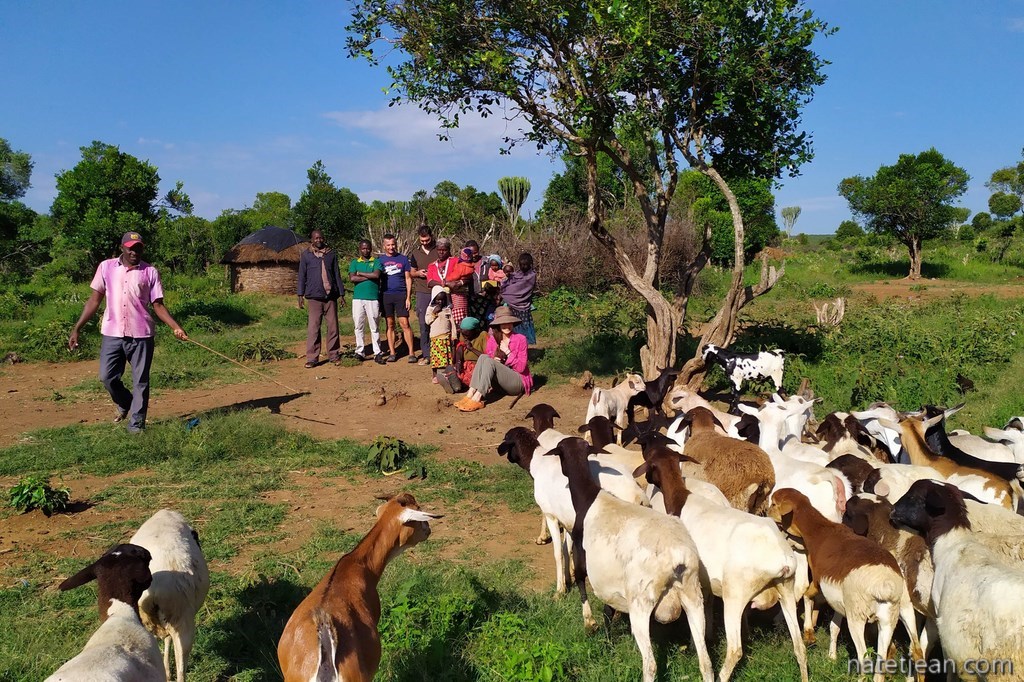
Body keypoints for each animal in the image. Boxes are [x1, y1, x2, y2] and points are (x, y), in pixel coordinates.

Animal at [546, 436, 714, 682]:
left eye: (559, 454)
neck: (589, 498)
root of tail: (678, 558)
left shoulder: (584, 557)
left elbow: (580, 581)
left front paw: (591, 625)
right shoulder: (610, 581)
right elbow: (608, 610)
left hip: (641, 602)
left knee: (650, 664)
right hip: (693, 595)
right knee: (706, 662)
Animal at [636, 445, 808, 682]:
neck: (681, 499)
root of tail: (782, 559)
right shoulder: (705, 581)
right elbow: (706, 608)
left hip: (736, 593)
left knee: (735, 650)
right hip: (787, 588)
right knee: (800, 647)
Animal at [768, 489, 923, 681]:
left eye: (774, 503)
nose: (766, 513)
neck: (822, 531)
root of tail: (885, 584)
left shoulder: (818, 582)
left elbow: (806, 596)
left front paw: (809, 634)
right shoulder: (838, 602)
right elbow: (834, 626)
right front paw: (831, 656)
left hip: (857, 618)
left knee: (864, 657)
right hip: (895, 616)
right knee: (912, 652)